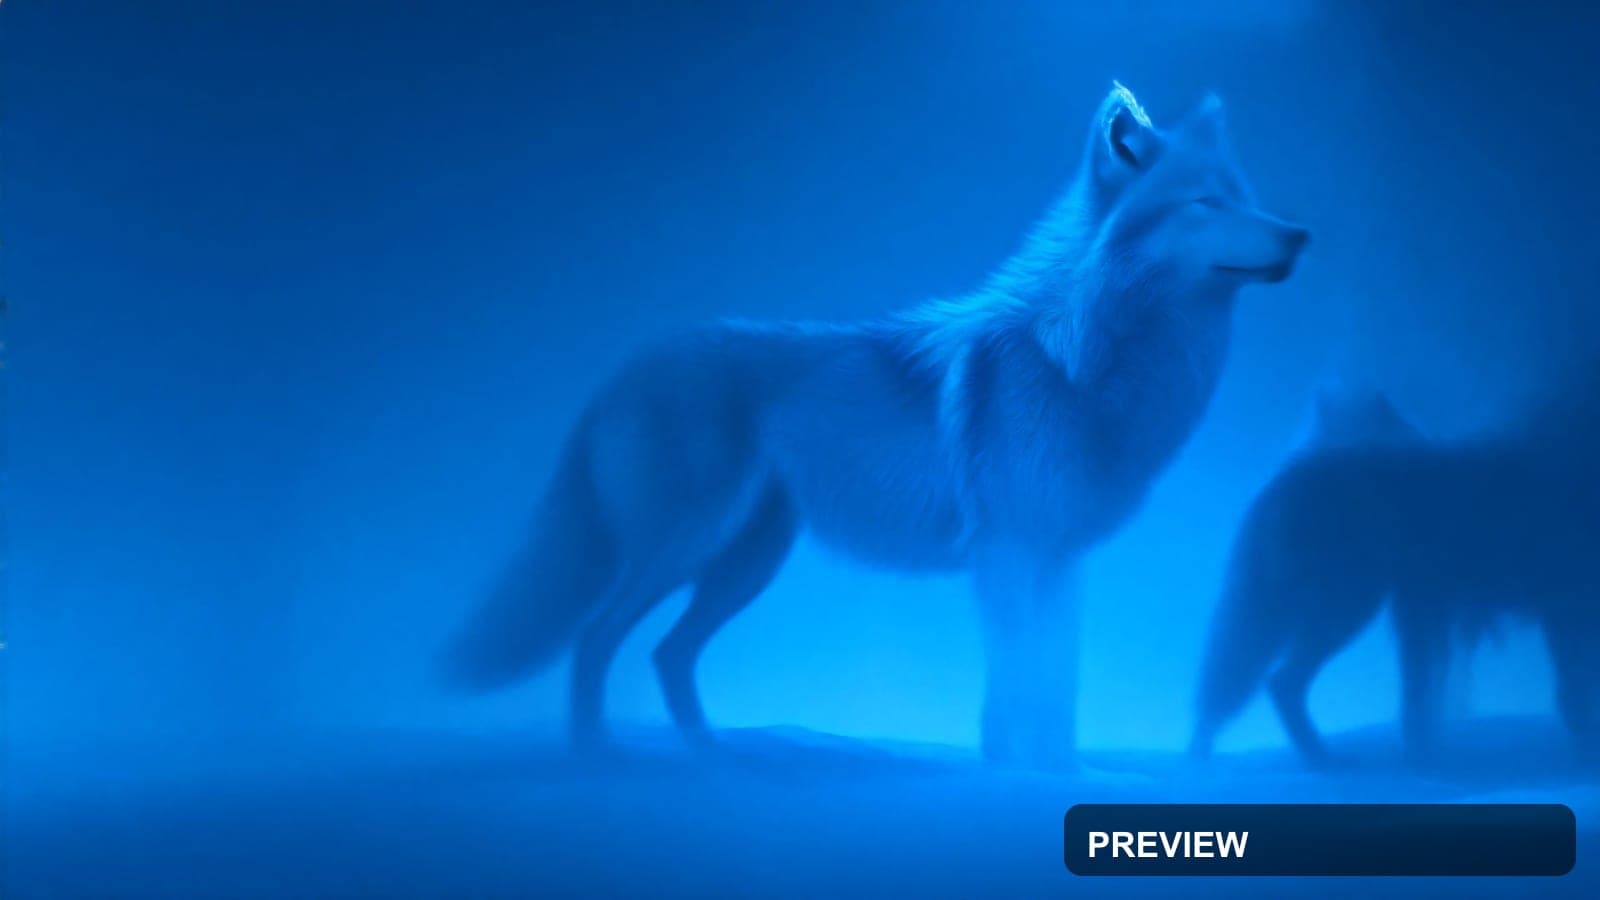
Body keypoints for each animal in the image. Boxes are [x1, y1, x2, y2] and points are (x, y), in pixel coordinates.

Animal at [442, 84, 1309, 769]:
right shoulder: (1010, 556)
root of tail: (622, 369)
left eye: (1246, 194)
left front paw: (1059, 779)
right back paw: (600, 759)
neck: (1079, 361)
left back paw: (716, 760)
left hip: (745, 563)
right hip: (685, 547)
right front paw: (1014, 778)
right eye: (1207, 203)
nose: (1299, 233)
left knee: (666, 652)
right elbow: (1019, 686)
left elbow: (1055, 691)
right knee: (596, 639)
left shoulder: (1061, 563)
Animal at [1190, 387, 1600, 767]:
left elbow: (1417, 703)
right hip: (1346, 610)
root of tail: (1280, 482)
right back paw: (1324, 760)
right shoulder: (1562, 611)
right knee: (1278, 683)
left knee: (1264, 684)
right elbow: (1573, 693)